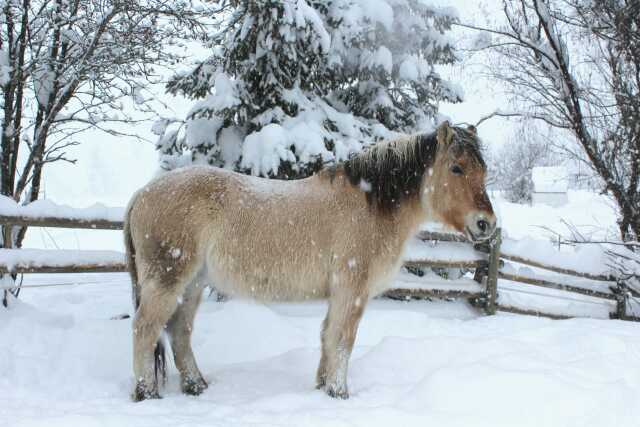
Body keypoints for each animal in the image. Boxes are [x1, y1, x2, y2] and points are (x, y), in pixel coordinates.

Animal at [124, 120, 496, 402]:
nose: (486, 224)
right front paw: (339, 392)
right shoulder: (352, 290)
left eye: (484, 171)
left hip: (192, 283)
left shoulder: (339, 293)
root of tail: (141, 195)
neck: (370, 204)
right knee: (146, 329)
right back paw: (147, 393)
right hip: (168, 280)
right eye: (456, 168)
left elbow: (327, 337)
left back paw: (196, 385)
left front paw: (322, 387)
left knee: (179, 330)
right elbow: (342, 340)